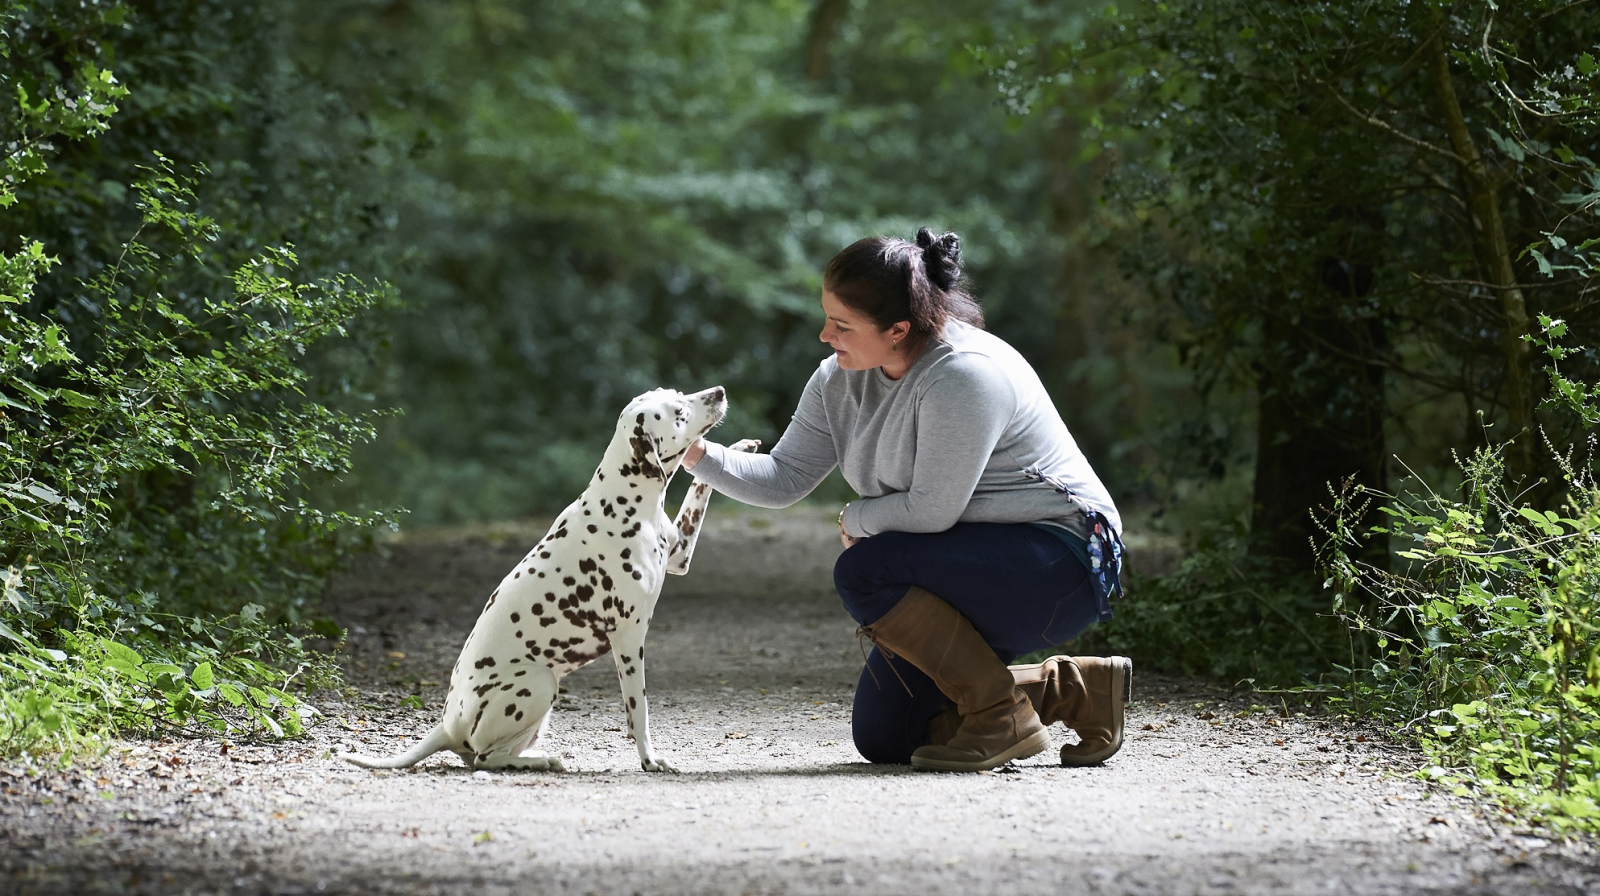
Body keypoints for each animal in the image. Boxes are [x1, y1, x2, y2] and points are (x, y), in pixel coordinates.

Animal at [340, 385, 752, 771]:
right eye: (679, 410)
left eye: (677, 393)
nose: (719, 392)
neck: (625, 502)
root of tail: (447, 725)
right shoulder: (629, 639)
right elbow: (639, 712)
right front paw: (650, 760)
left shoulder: (681, 554)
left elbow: (700, 489)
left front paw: (738, 448)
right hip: (541, 683)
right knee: (486, 759)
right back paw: (542, 761)